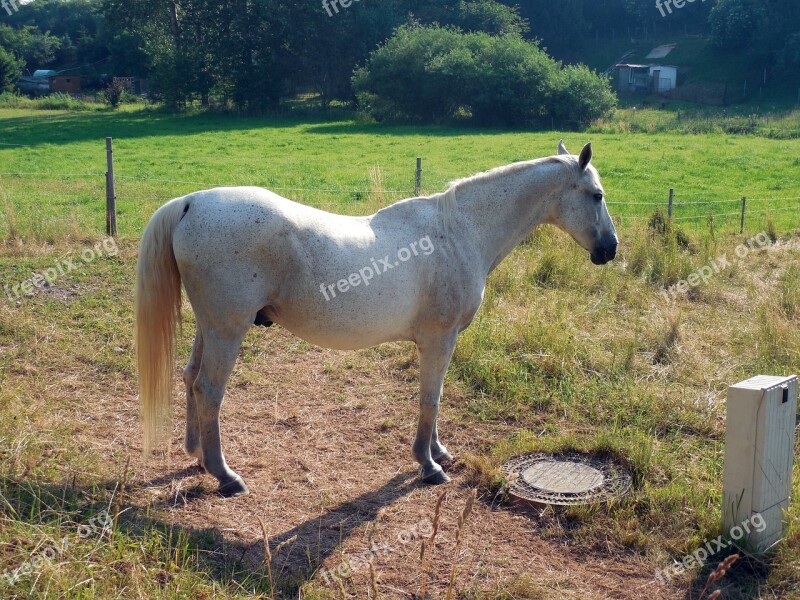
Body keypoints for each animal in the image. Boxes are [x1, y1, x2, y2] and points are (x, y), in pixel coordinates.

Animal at [136, 141, 620, 496]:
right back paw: (225, 475)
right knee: (209, 389)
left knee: (190, 378)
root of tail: (192, 202)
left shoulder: (441, 343)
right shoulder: (439, 340)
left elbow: (435, 398)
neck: (459, 232)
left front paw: (440, 452)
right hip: (227, 330)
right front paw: (428, 465)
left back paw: (197, 456)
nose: (610, 249)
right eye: (597, 196)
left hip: (211, 327)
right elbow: (430, 398)